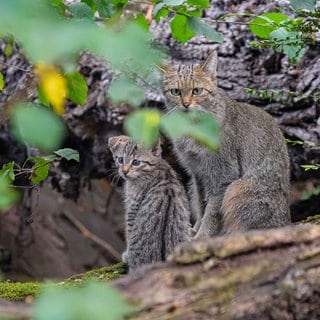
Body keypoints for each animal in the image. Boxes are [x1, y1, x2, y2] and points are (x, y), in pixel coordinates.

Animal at [109, 135, 191, 272]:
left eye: (136, 162)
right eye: (120, 160)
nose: (124, 171)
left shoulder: (132, 207)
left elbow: (129, 232)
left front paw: (127, 254)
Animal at [161, 50, 292, 239]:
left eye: (197, 90)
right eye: (175, 92)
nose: (186, 104)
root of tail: (287, 220)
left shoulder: (223, 176)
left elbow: (212, 211)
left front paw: (202, 236)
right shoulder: (197, 174)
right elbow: (202, 205)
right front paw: (196, 230)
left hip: (237, 188)